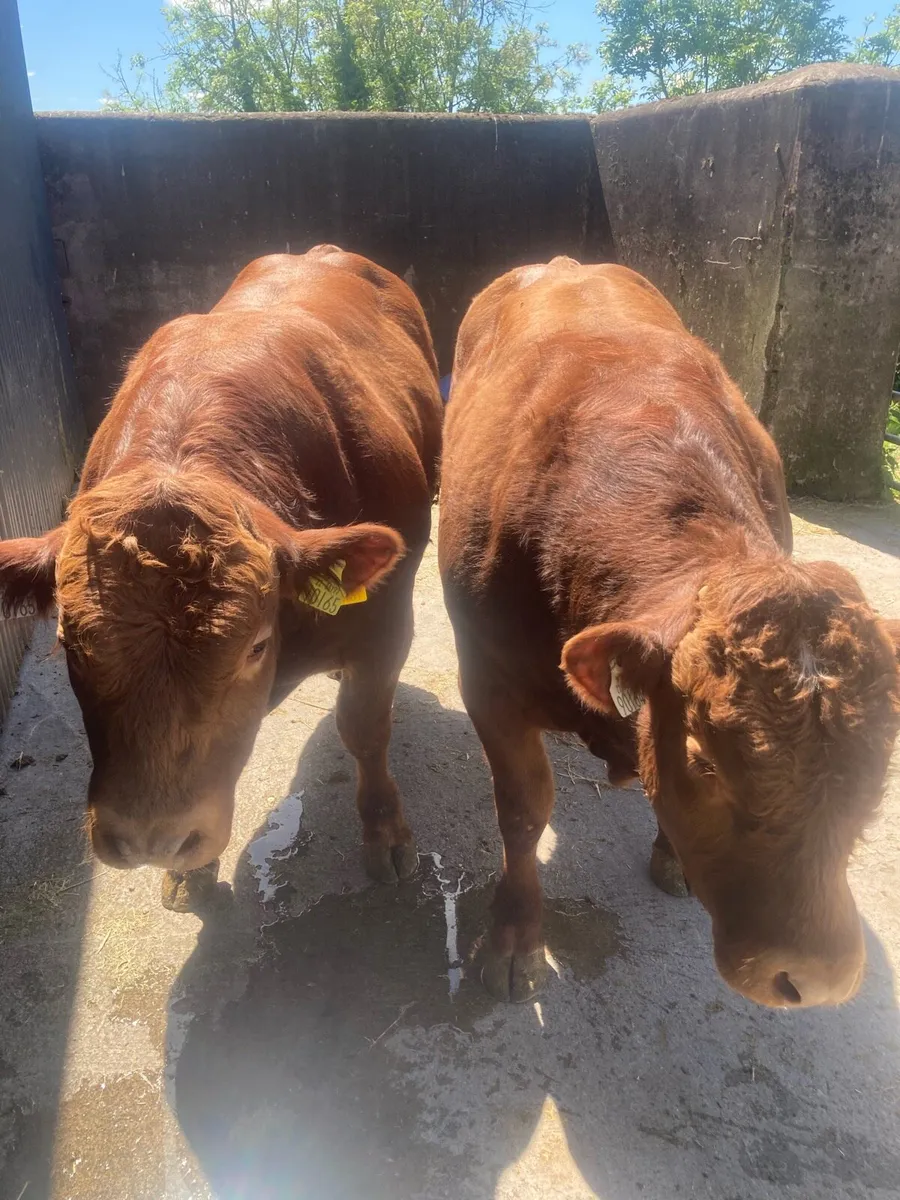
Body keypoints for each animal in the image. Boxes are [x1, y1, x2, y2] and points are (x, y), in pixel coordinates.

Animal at [0, 246, 442, 907]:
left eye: (255, 646)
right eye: (67, 644)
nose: (153, 839)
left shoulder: (386, 624)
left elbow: (365, 729)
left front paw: (386, 834)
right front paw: (188, 873)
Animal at [438, 258, 900, 1008]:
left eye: (880, 768)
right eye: (705, 760)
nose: (817, 977)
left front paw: (671, 854)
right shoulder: (487, 683)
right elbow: (524, 810)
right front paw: (515, 937)